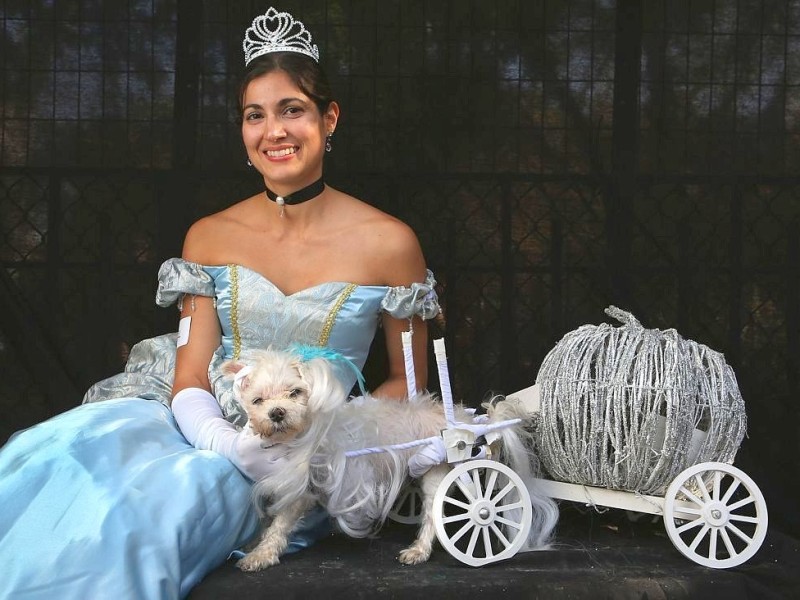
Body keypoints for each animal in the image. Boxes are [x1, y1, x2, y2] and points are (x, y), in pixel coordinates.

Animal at [219, 346, 556, 572]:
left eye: (295, 393)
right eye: (258, 401)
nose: (277, 413)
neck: (296, 439)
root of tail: (463, 420)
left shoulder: (302, 493)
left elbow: (279, 524)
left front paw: (260, 554)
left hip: (437, 471)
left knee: (435, 515)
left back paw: (419, 550)